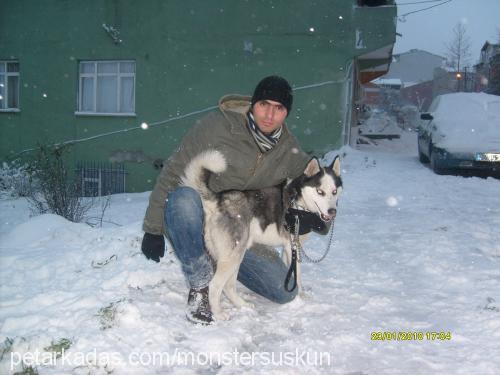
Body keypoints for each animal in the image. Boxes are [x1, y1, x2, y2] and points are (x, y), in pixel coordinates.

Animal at [182, 150, 342, 320]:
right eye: (320, 192)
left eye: (334, 192)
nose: (332, 211)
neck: (299, 204)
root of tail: (219, 199)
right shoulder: (292, 246)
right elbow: (297, 276)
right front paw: (300, 296)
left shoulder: (288, 248)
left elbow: (291, 272)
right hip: (233, 255)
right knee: (215, 285)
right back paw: (219, 314)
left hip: (234, 256)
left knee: (228, 286)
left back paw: (242, 305)